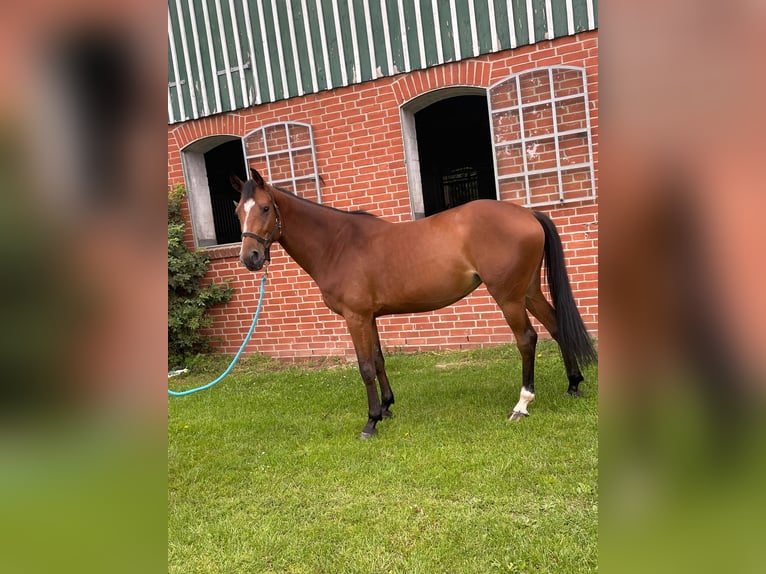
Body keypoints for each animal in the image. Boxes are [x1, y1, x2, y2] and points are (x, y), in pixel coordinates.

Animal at [231, 169, 596, 438]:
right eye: (237, 212)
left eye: (265, 208)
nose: (250, 258)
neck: (338, 244)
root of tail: (528, 213)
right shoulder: (369, 317)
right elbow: (379, 360)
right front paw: (387, 408)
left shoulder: (355, 317)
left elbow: (365, 367)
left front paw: (371, 422)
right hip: (529, 291)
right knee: (556, 326)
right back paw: (573, 385)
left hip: (509, 297)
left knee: (527, 340)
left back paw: (522, 404)